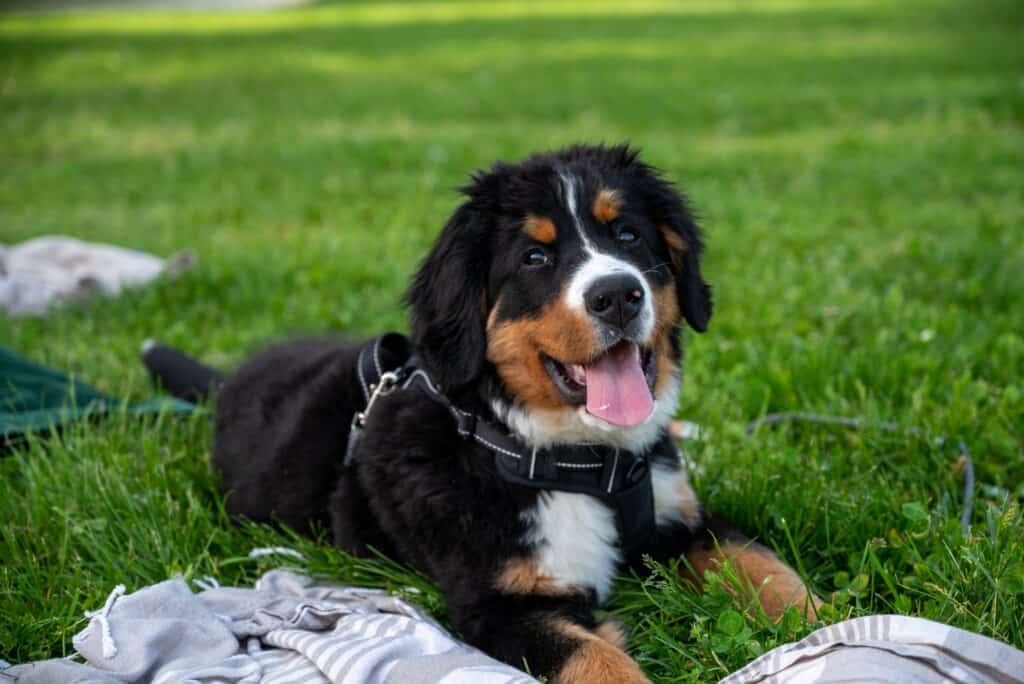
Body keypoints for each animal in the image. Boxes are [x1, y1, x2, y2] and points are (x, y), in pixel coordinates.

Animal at [176, 145, 819, 684]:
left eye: (629, 234)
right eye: (535, 256)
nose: (617, 294)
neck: (584, 463)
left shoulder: (682, 517)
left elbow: (762, 566)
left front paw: (822, 622)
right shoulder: (498, 602)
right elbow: (597, 659)